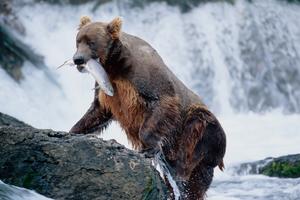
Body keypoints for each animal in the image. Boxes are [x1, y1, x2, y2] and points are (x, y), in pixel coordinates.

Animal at [69, 16, 225, 200]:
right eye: (78, 41)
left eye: (91, 42)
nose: (77, 59)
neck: (113, 65)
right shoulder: (107, 89)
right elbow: (97, 112)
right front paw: (74, 131)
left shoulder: (145, 79)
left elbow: (161, 105)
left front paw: (148, 148)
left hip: (205, 135)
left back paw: (179, 166)